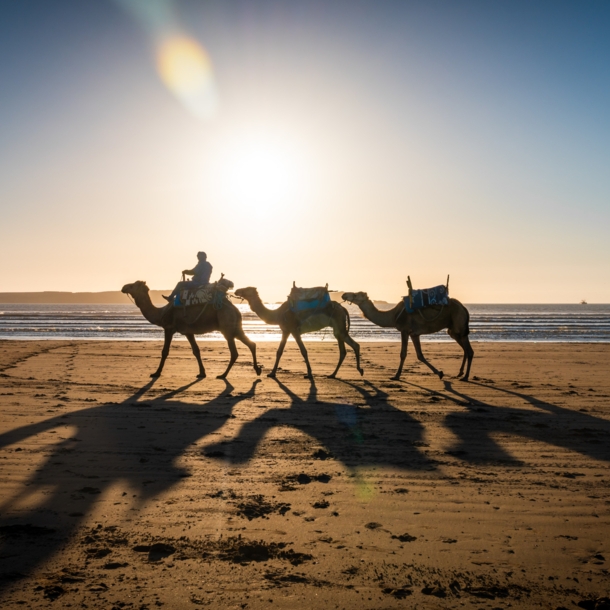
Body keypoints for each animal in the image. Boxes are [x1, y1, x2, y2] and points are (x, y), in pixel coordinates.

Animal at [120, 280, 260, 376]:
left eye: (132, 285)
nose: (123, 287)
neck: (161, 313)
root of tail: (235, 309)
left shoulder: (169, 328)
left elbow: (165, 352)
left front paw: (156, 373)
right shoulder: (188, 332)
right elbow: (196, 351)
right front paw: (202, 373)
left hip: (227, 327)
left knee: (234, 352)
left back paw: (223, 375)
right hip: (236, 328)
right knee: (251, 344)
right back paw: (257, 369)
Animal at [340, 290, 472, 380]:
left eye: (356, 294)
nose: (344, 294)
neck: (393, 315)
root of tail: (464, 307)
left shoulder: (404, 330)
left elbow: (403, 354)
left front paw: (396, 376)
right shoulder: (414, 334)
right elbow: (420, 355)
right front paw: (439, 373)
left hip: (459, 324)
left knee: (469, 350)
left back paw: (465, 377)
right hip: (454, 330)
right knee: (465, 348)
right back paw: (460, 373)